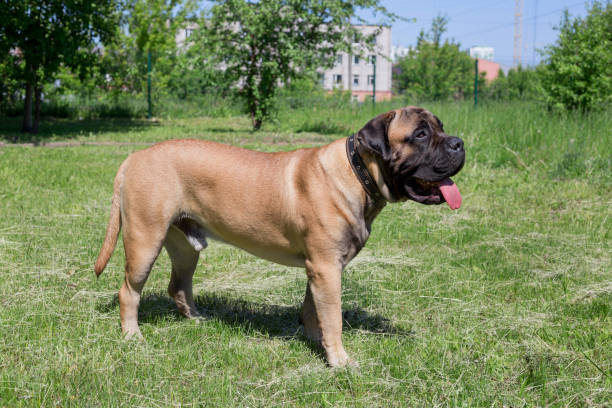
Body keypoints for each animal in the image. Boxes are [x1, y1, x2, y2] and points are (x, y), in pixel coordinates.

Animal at [93, 105, 464, 366]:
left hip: (185, 246)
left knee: (178, 284)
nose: (459, 143)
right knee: (129, 291)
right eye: (420, 134)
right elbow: (333, 316)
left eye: (442, 128)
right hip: (145, 240)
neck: (358, 173)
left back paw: (197, 319)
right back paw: (132, 336)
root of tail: (133, 157)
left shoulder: (320, 268)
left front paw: (316, 341)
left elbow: (314, 309)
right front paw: (340, 360)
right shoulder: (326, 268)